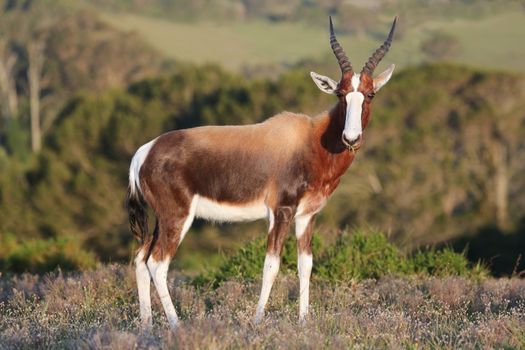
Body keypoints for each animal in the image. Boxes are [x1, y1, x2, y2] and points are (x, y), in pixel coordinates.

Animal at [127, 16, 398, 328]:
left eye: (370, 93)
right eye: (341, 94)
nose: (351, 138)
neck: (309, 139)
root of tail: (145, 151)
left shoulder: (306, 216)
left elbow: (306, 264)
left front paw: (304, 322)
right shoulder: (281, 212)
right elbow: (272, 264)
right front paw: (257, 322)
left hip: (161, 219)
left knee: (140, 259)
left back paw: (146, 325)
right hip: (177, 217)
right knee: (157, 263)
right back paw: (176, 324)